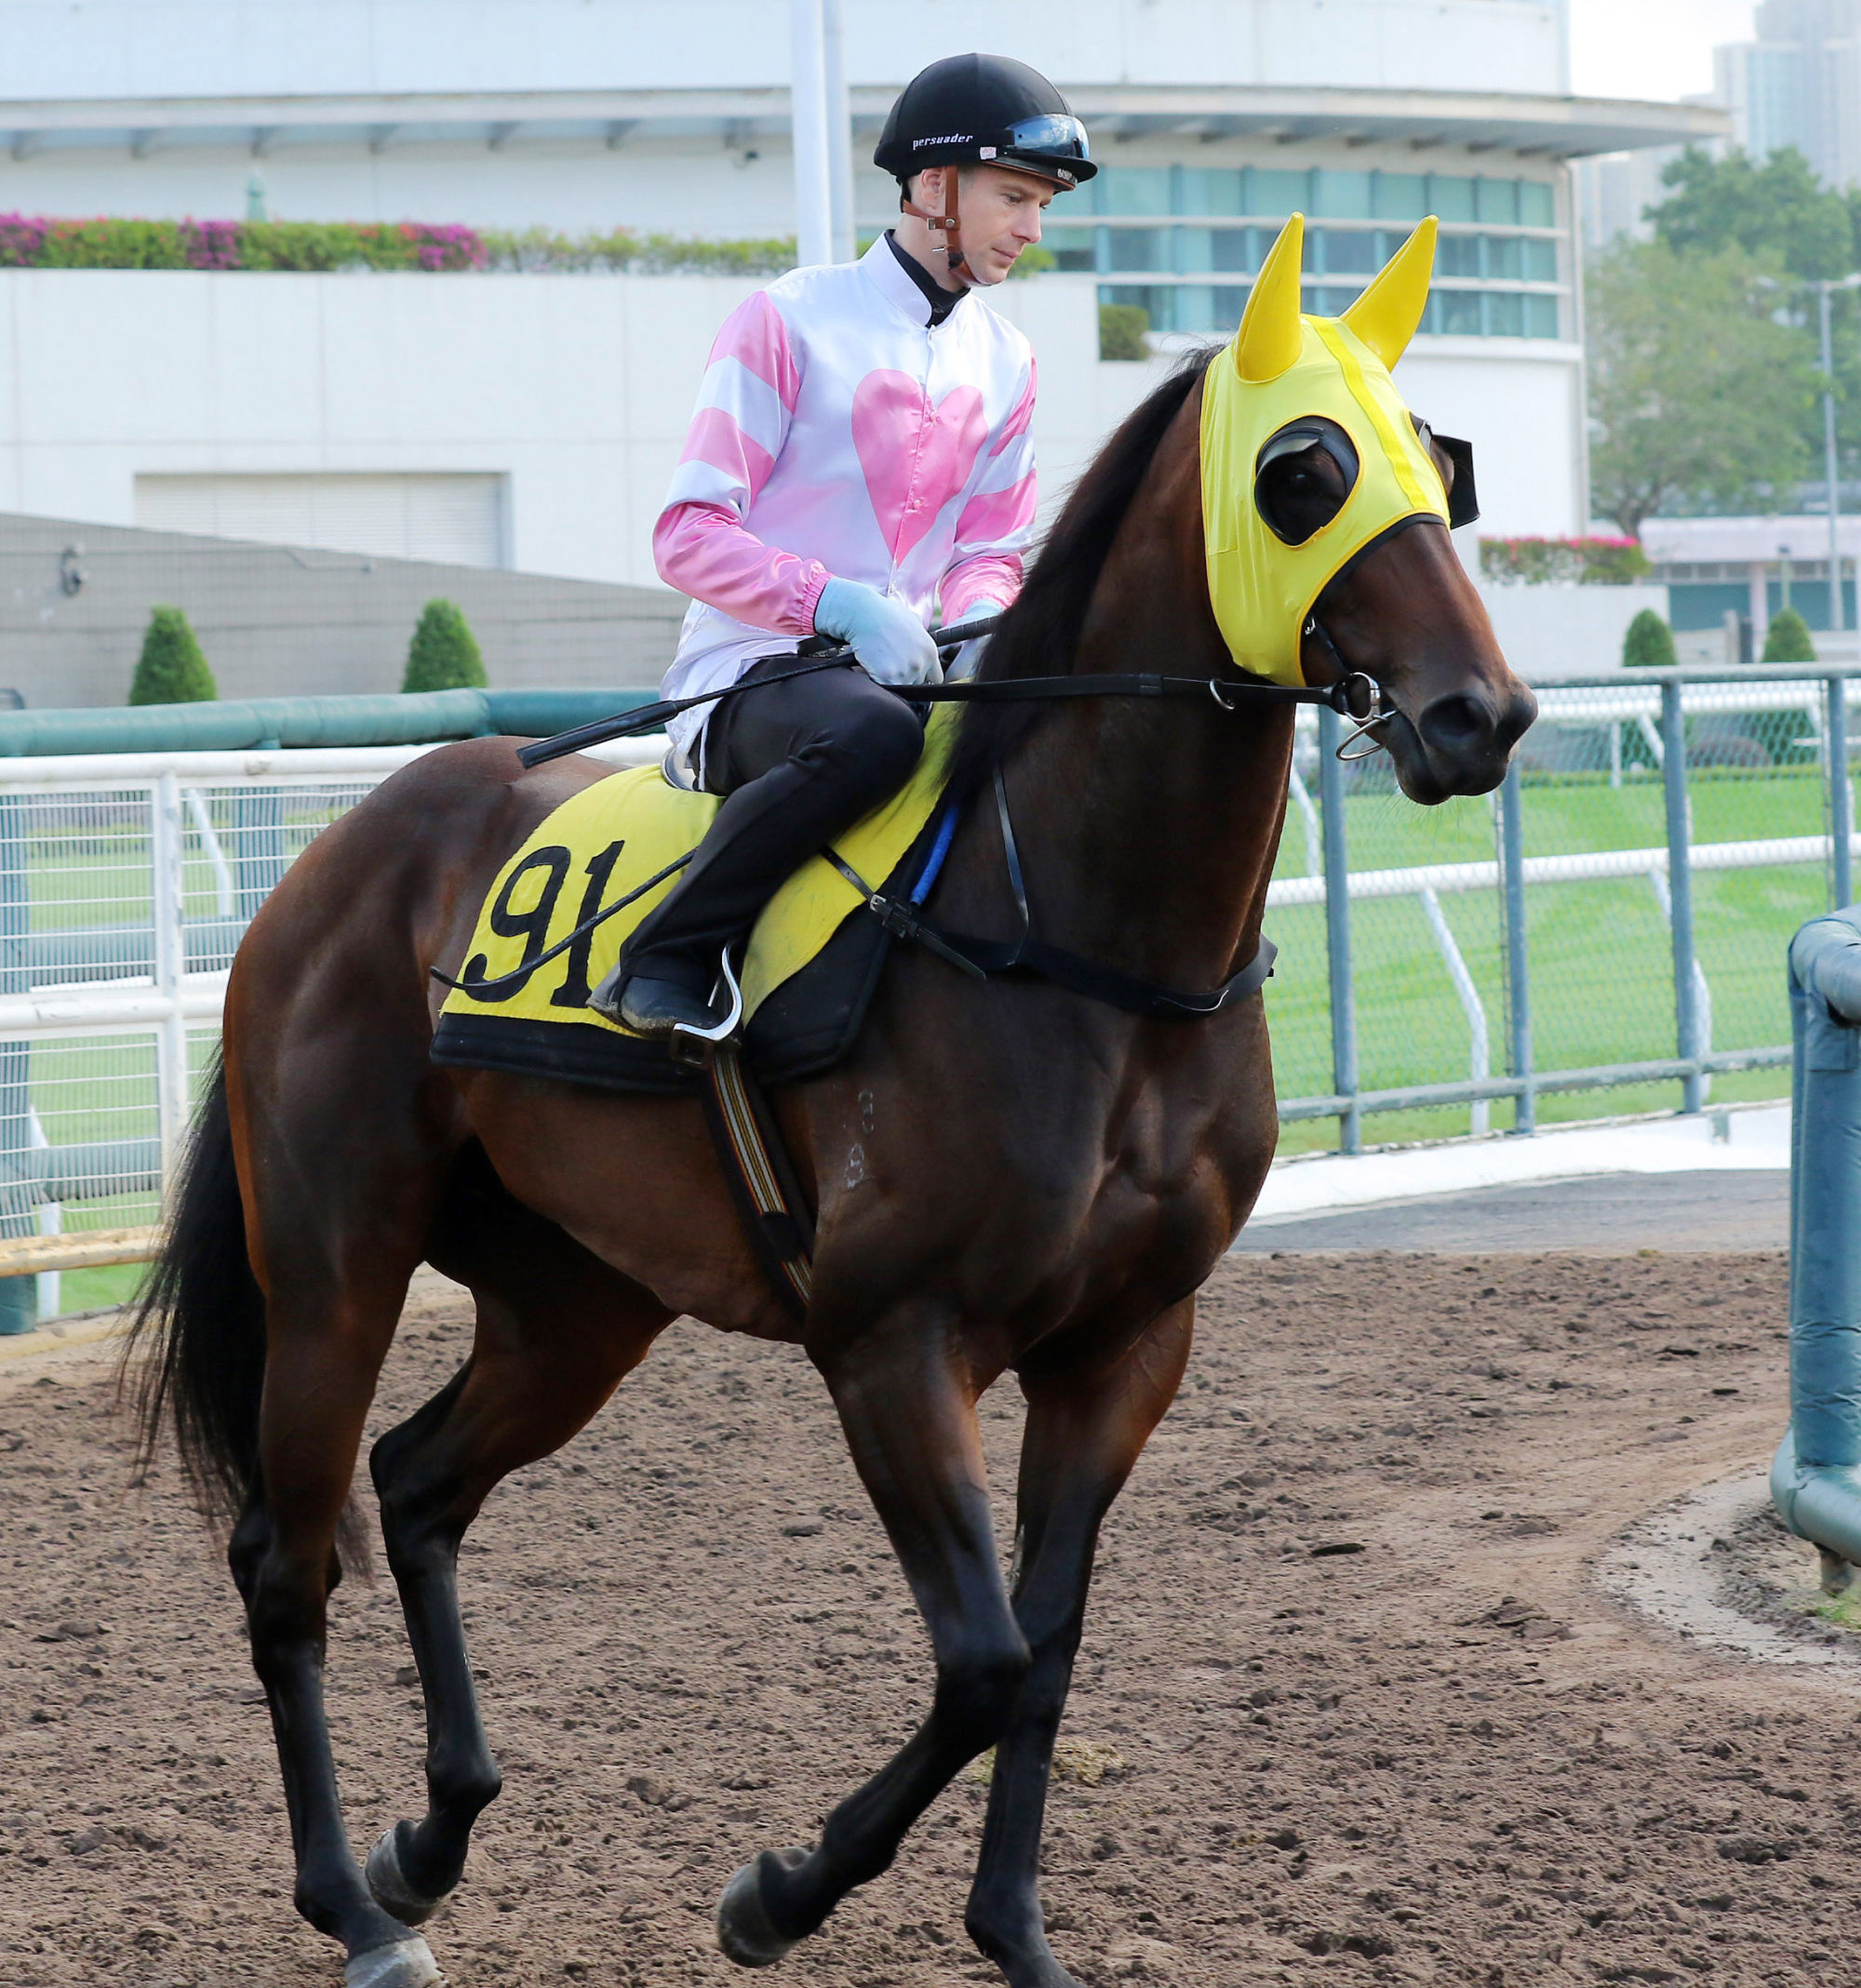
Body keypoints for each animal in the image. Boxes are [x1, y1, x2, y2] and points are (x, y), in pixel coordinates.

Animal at [127, 268, 1527, 1988]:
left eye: (1442, 462)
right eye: (1306, 469)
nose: (1483, 715)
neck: (1079, 945)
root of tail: (333, 859)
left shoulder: (1126, 1348)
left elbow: (1046, 1651)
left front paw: (1016, 1938)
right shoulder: (894, 1340)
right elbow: (982, 1658)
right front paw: (777, 1890)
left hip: (578, 1302)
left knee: (418, 1484)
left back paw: (431, 1837)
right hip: (337, 1266)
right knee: (290, 1555)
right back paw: (354, 1904)